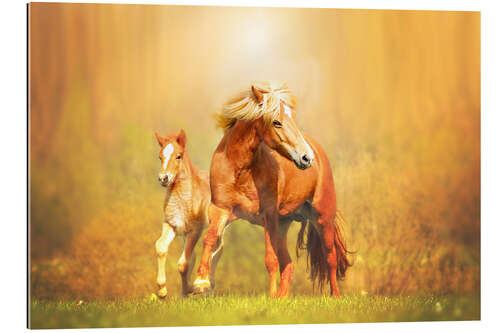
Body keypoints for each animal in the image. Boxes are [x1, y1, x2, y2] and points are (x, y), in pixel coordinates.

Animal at [151, 129, 224, 296]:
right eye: (160, 156)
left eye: (178, 156)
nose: (163, 178)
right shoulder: (171, 225)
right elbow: (161, 247)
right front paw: (163, 291)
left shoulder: (195, 230)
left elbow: (184, 263)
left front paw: (190, 289)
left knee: (218, 248)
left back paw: (208, 285)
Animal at [191, 82, 352, 296]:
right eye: (276, 122)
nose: (306, 157)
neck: (241, 170)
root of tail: (318, 150)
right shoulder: (221, 210)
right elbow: (209, 239)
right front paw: (200, 283)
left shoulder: (268, 215)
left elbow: (270, 260)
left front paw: (270, 296)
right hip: (283, 224)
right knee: (289, 264)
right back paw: (283, 297)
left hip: (322, 217)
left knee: (330, 258)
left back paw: (334, 296)